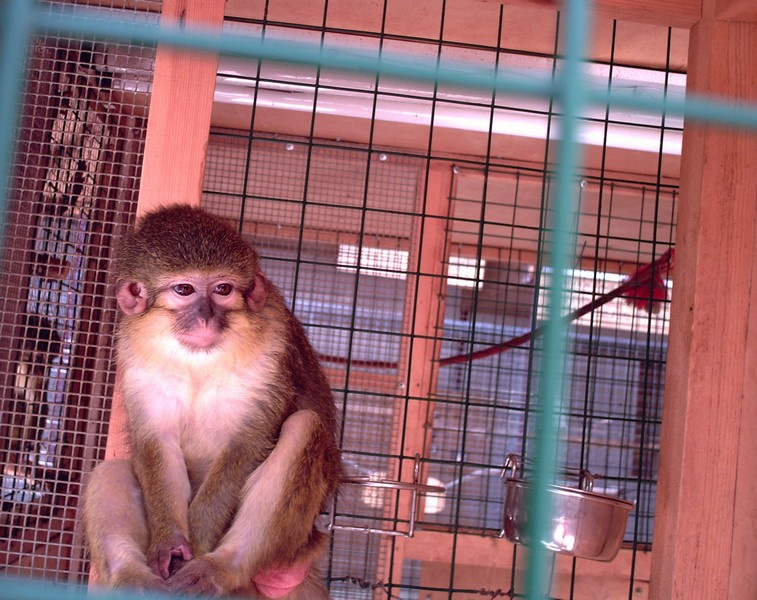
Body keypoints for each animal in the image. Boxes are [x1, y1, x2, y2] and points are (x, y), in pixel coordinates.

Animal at [82, 204, 343, 598]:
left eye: (223, 290)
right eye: (184, 289)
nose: (205, 317)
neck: (199, 360)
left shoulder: (272, 341)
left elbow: (247, 443)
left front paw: (200, 542)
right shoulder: (132, 353)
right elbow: (157, 442)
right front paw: (170, 544)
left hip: (293, 546)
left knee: (304, 428)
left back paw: (221, 568)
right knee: (111, 471)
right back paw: (135, 581)